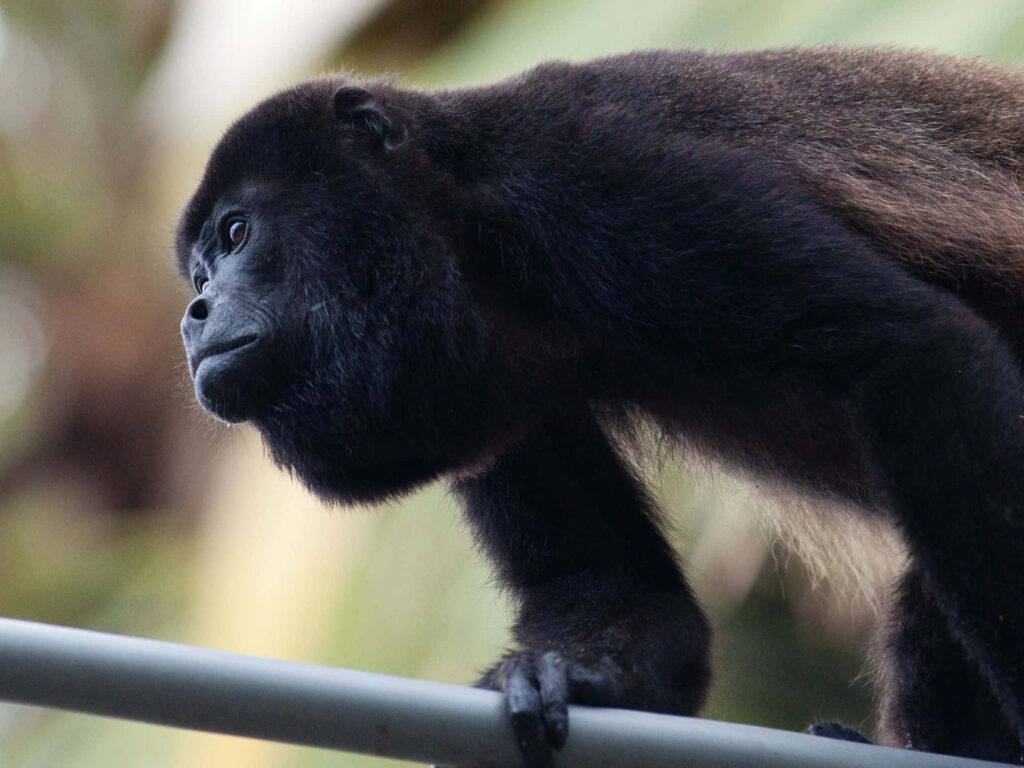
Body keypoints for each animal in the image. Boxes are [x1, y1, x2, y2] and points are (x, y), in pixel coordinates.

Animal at [176, 47, 1024, 766]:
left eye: (237, 231)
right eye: (199, 272)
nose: (193, 313)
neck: (464, 220)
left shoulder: (601, 184)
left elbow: (911, 351)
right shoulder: (508, 384)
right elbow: (629, 593)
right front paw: (565, 678)